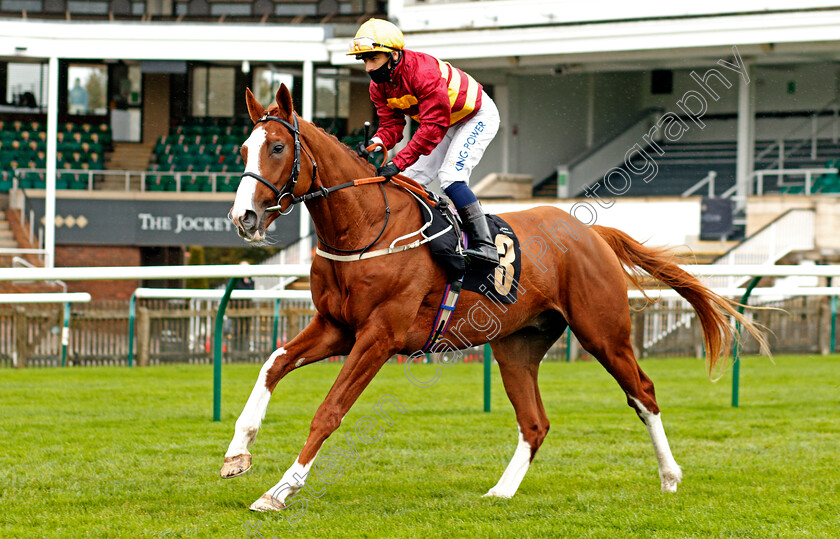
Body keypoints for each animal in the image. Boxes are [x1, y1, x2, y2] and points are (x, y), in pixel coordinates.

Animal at [223, 84, 768, 510]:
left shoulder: (378, 336)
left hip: (603, 332)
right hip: (517, 346)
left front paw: (280, 490)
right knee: (535, 422)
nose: (243, 218)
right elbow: (271, 364)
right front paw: (237, 453)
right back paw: (502, 491)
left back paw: (669, 476)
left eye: (277, 147)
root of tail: (591, 233)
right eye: (244, 149)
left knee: (644, 393)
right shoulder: (336, 327)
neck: (365, 227)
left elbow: (329, 410)